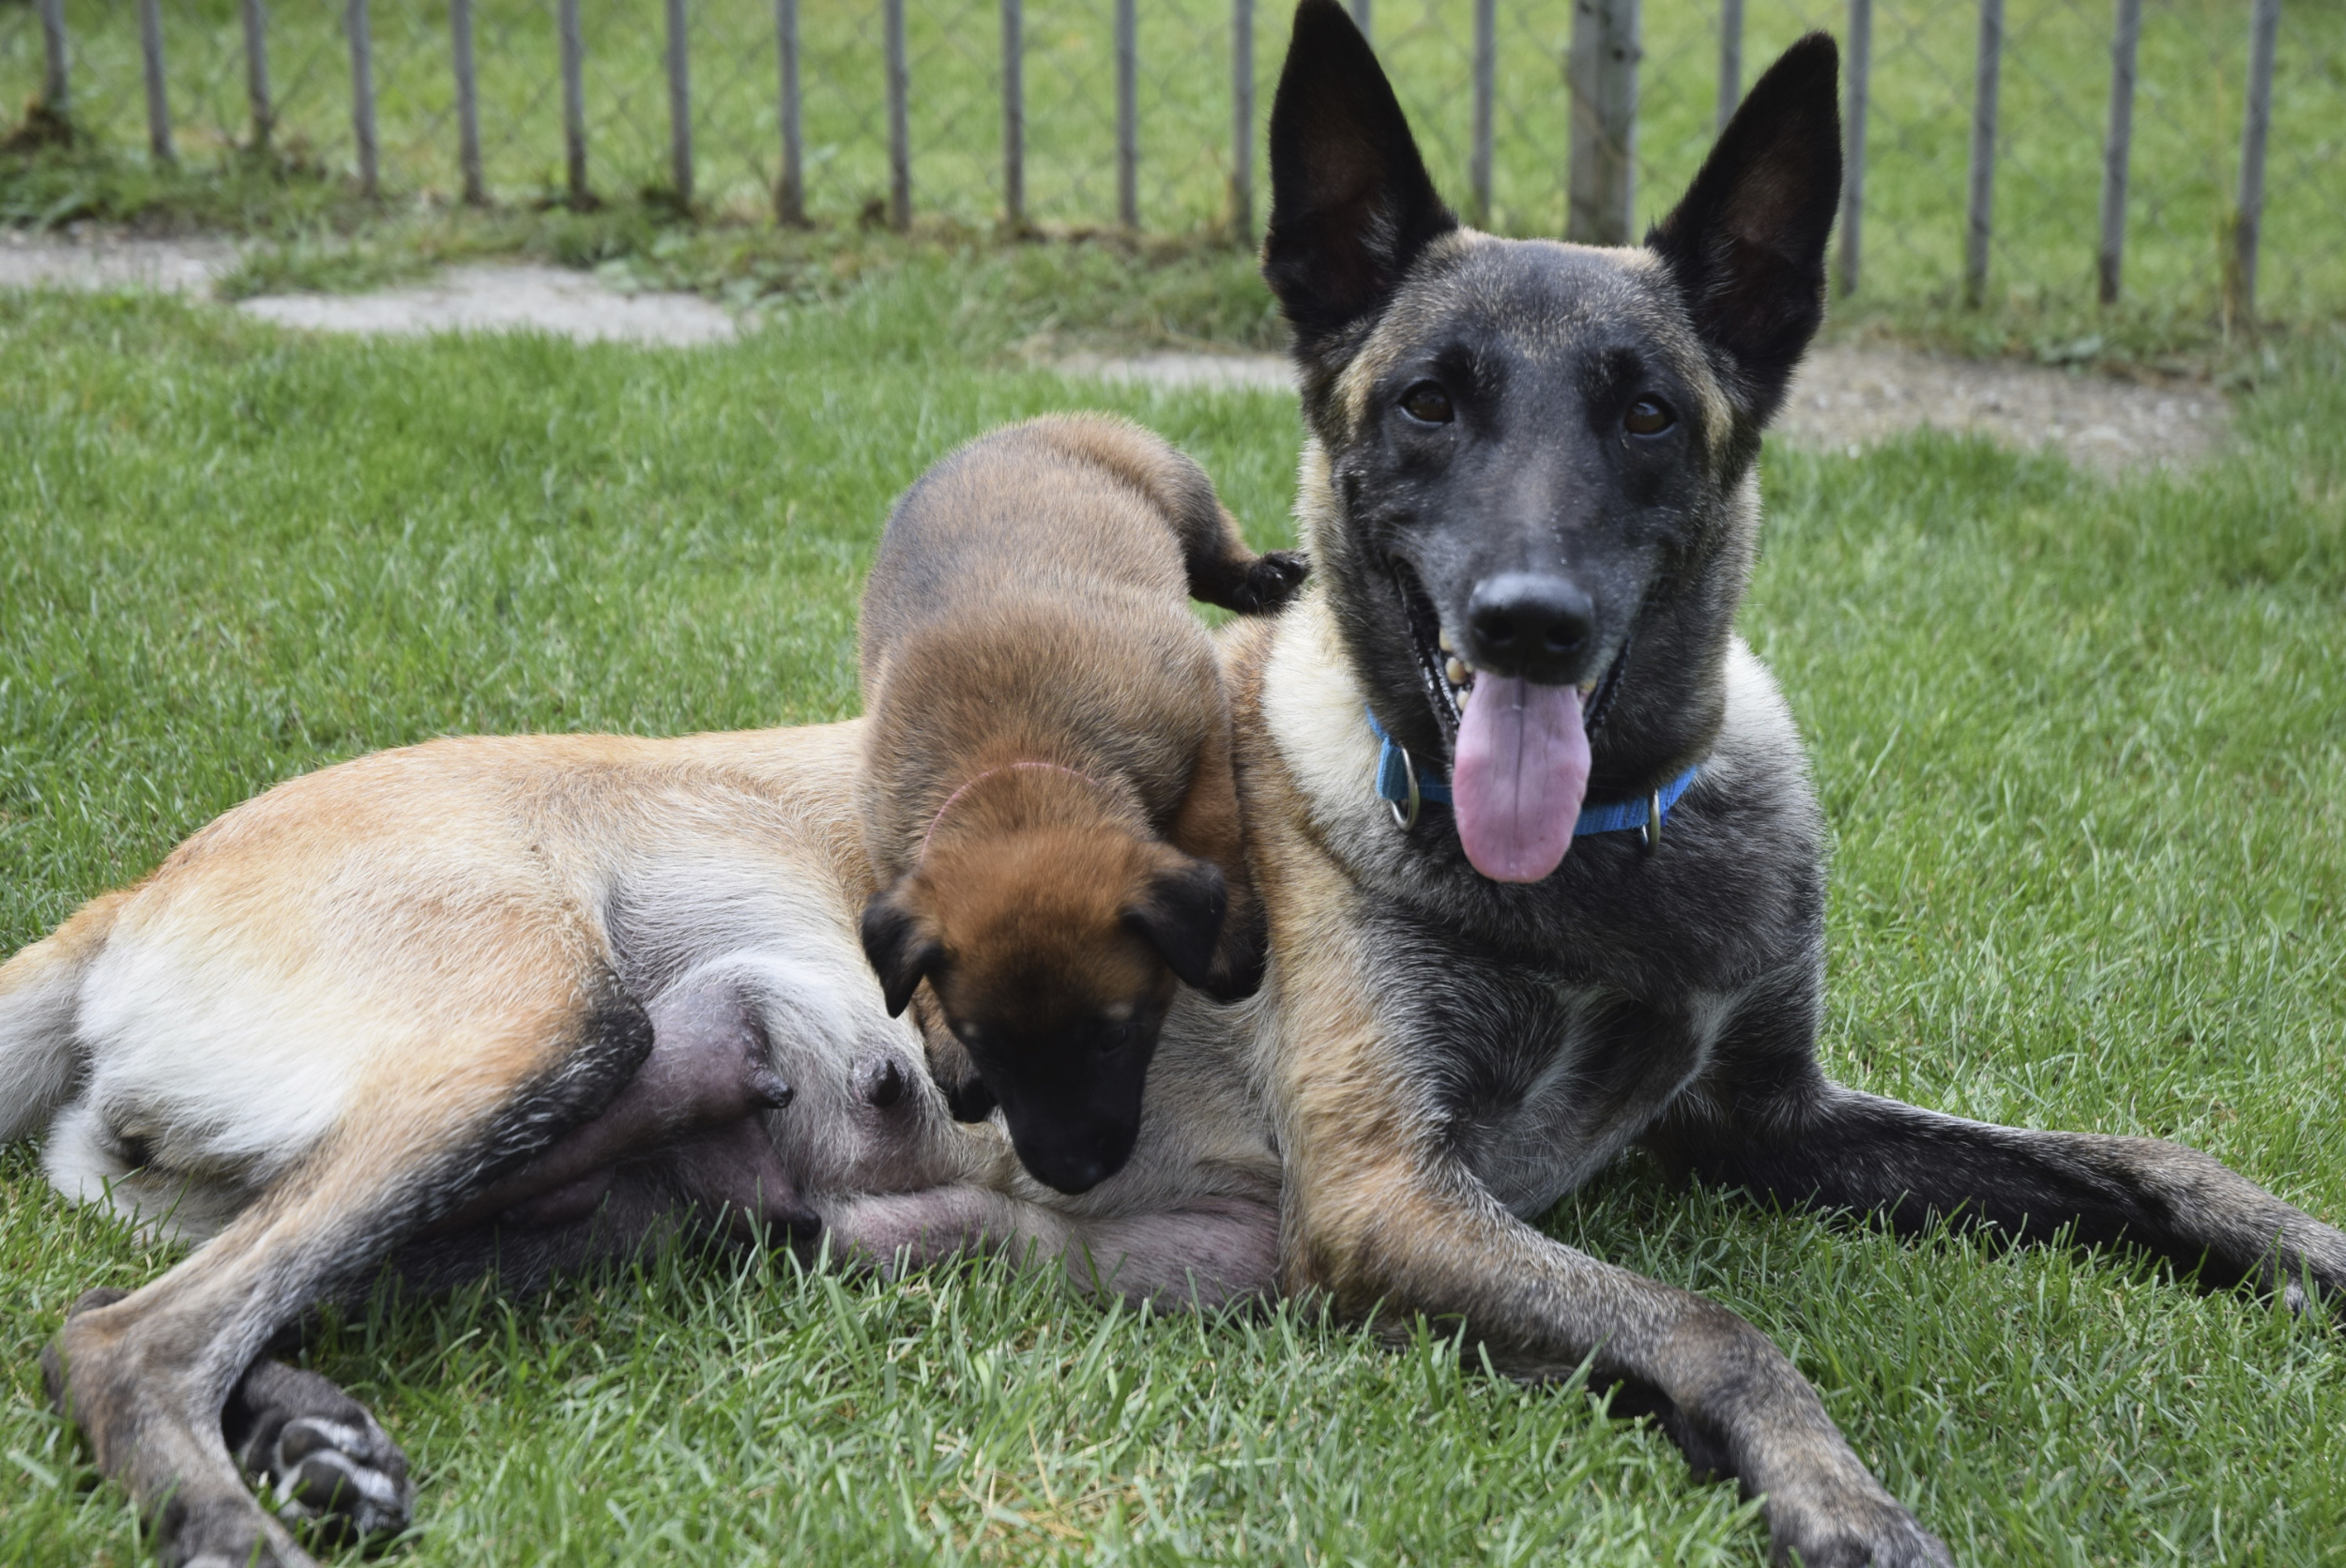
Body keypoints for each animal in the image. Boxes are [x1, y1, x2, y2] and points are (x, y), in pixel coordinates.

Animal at [859, 410, 1304, 1192]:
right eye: (993, 1049)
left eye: (1113, 1036)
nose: (1071, 1173)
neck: (1014, 777)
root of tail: (1012, 430)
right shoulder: (894, 853)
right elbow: (911, 958)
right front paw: (943, 1039)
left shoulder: (1197, 705)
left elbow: (1212, 820)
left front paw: (1227, 937)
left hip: (1176, 489)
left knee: (1217, 559)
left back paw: (1268, 577)